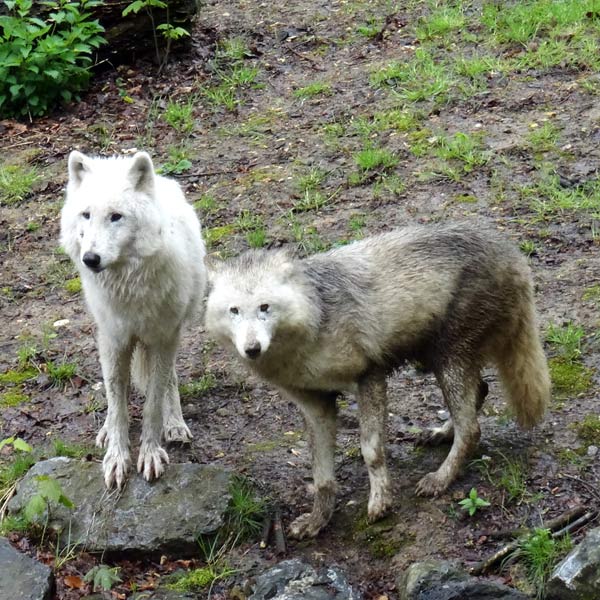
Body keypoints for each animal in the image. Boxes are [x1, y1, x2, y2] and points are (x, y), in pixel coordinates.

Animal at [60, 152, 207, 490]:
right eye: (86, 215)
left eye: (116, 217)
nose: (90, 259)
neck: (128, 286)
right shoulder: (115, 339)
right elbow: (117, 402)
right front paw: (116, 456)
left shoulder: (163, 338)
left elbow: (153, 402)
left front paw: (150, 453)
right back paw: (105, 430)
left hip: (171, 336)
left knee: (170, 380)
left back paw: (175, 424)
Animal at [207, 224, 552, 540]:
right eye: (234, 311)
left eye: (264, 307)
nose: (252, 349)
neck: (312, 325)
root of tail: (510, 250)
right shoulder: (316, 406)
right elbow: (321, 476)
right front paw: (318, 521)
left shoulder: (369, 378)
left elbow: (371, 451)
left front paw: (380, 503)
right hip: (437, 361)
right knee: (481, 392)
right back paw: (441, 434)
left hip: (447, 361)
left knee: (472, 429)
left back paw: (439, 480)